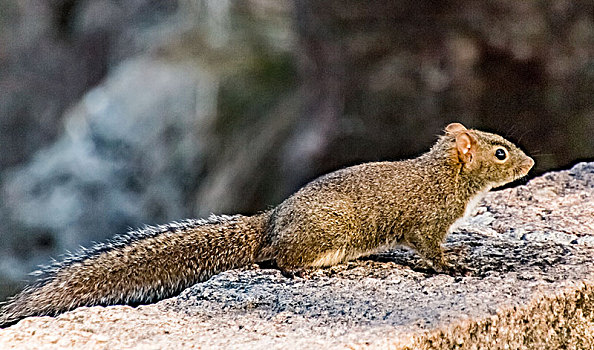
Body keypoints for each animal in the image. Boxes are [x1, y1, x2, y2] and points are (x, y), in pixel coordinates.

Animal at [0, 121, 532, 326]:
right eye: (501, 153)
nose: (529, 162)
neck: (444, 175)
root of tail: (270, 221)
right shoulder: (427, 222)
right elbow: (432, 252)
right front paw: (455, 265)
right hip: (324, 233)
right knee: (275, 258)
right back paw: (312, 268)